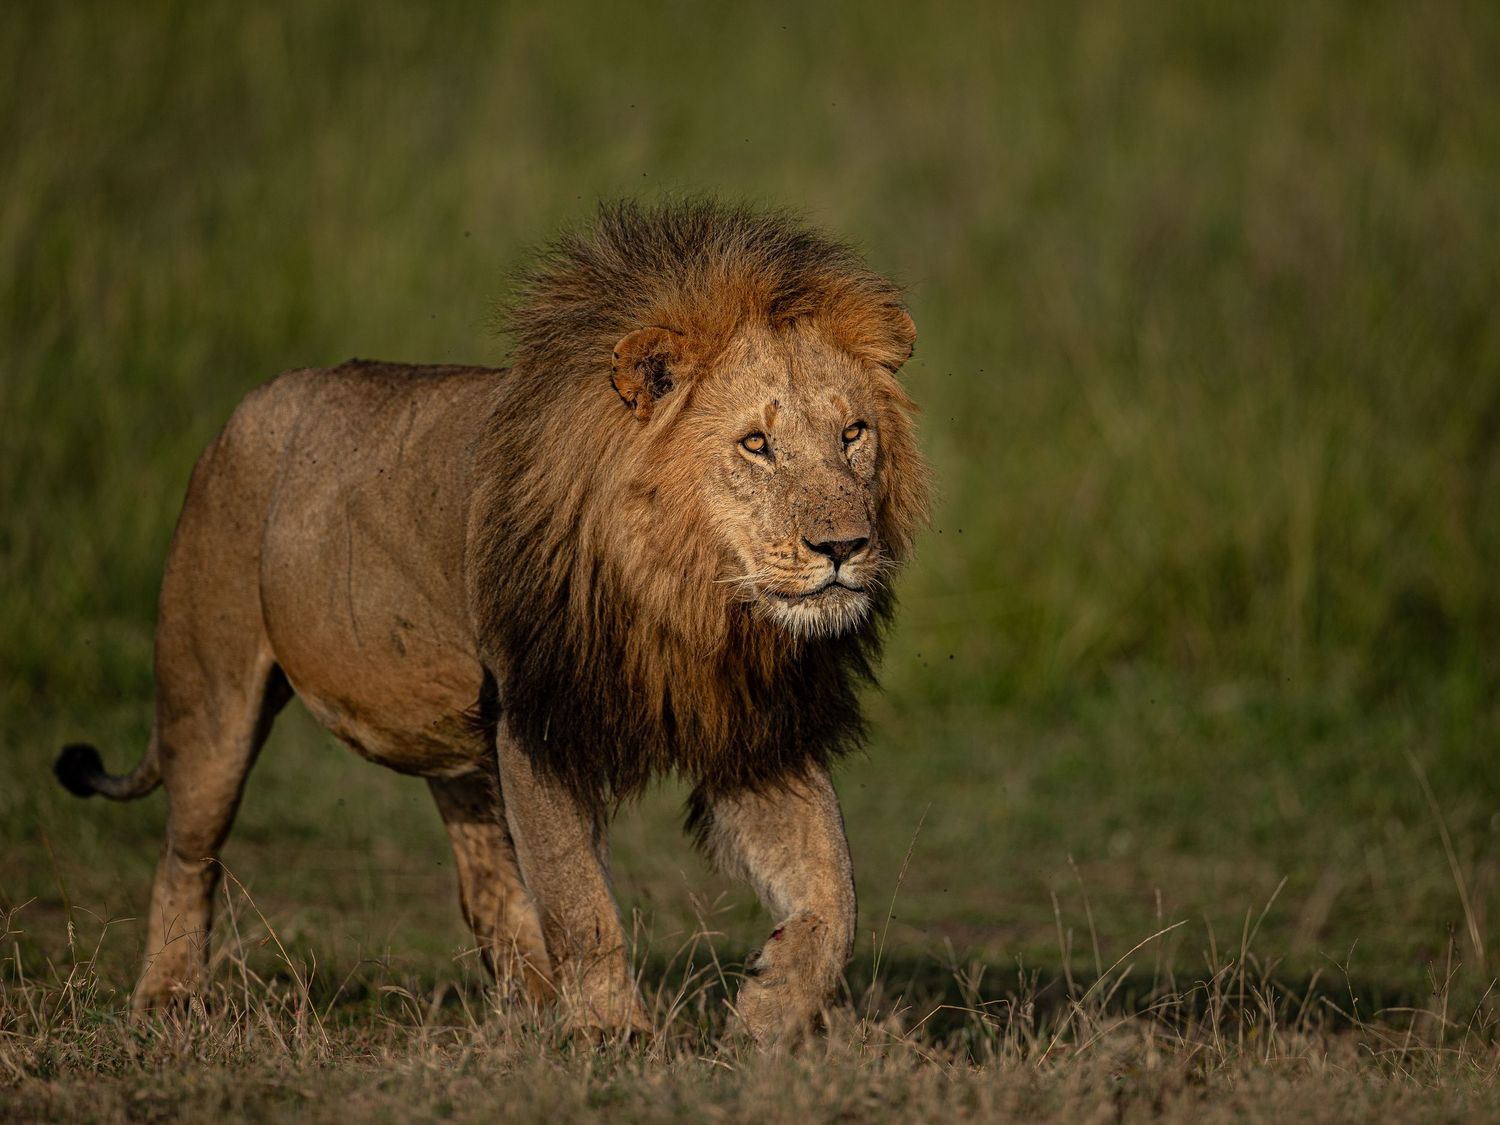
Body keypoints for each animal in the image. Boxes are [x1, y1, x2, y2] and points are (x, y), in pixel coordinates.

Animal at [53, 199, 928, 1043]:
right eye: (755, 444)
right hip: (210, 694)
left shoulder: (752, 727)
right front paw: (609, 1032)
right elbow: (580, 902)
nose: (844, 546)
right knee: (187, 855)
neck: (692, 599)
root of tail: (239, 415)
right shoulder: (536, 718)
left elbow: (836, 895)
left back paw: (531, 1005)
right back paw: (166, 998)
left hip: (459, 745)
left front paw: (768, 1011)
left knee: (484, 880)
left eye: (853, 433)